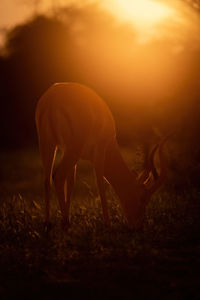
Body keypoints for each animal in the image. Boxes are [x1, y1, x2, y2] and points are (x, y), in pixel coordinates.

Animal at [34, 82, 167, 230]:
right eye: (142, 197)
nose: (138, 224)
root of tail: (52, 100)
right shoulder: (99, 151)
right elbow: (100, 183)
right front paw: (107, 224)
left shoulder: (70, 153)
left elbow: (71, 182)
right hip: (72, 148)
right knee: (58, 176)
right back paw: (65, 224)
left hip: (48, 145)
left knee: (47, 180)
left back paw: (48, 223)